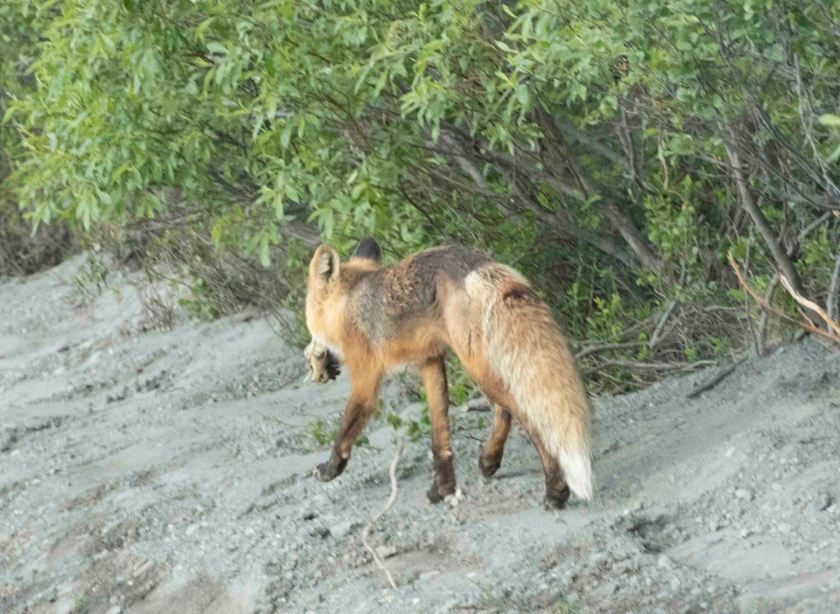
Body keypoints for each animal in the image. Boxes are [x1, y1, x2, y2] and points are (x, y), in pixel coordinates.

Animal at [304, 237, 592, 509]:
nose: (311, 356)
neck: (348, 305)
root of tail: (479, 264)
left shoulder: (366, 376)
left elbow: (345, 430)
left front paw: (330, 469)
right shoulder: (430, 360)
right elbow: (439, 431)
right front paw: (443, 488)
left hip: (475, 365)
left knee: (528, 417)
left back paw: (555, 491)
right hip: (487, 361)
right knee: (506, 410)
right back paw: (490, 460)